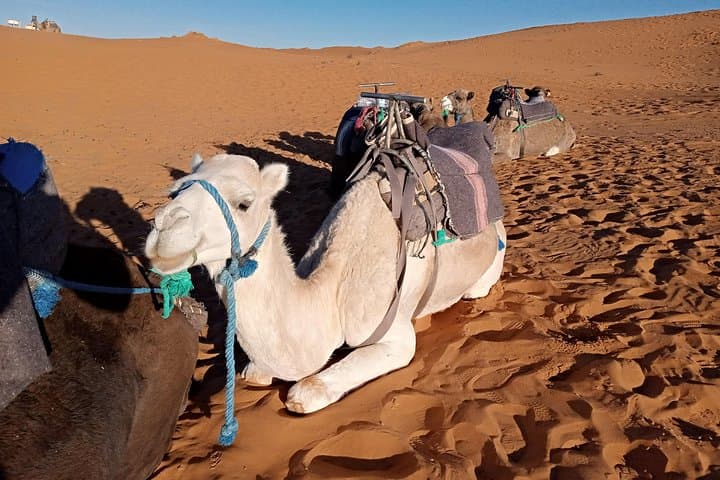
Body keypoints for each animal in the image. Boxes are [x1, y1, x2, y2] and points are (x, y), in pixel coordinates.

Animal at [146, 152, 506, 414]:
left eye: (243, 203)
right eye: (176, 190)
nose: (165, 228)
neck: (330, 292)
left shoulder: (393, 334)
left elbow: (304, 391)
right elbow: (254, 373)